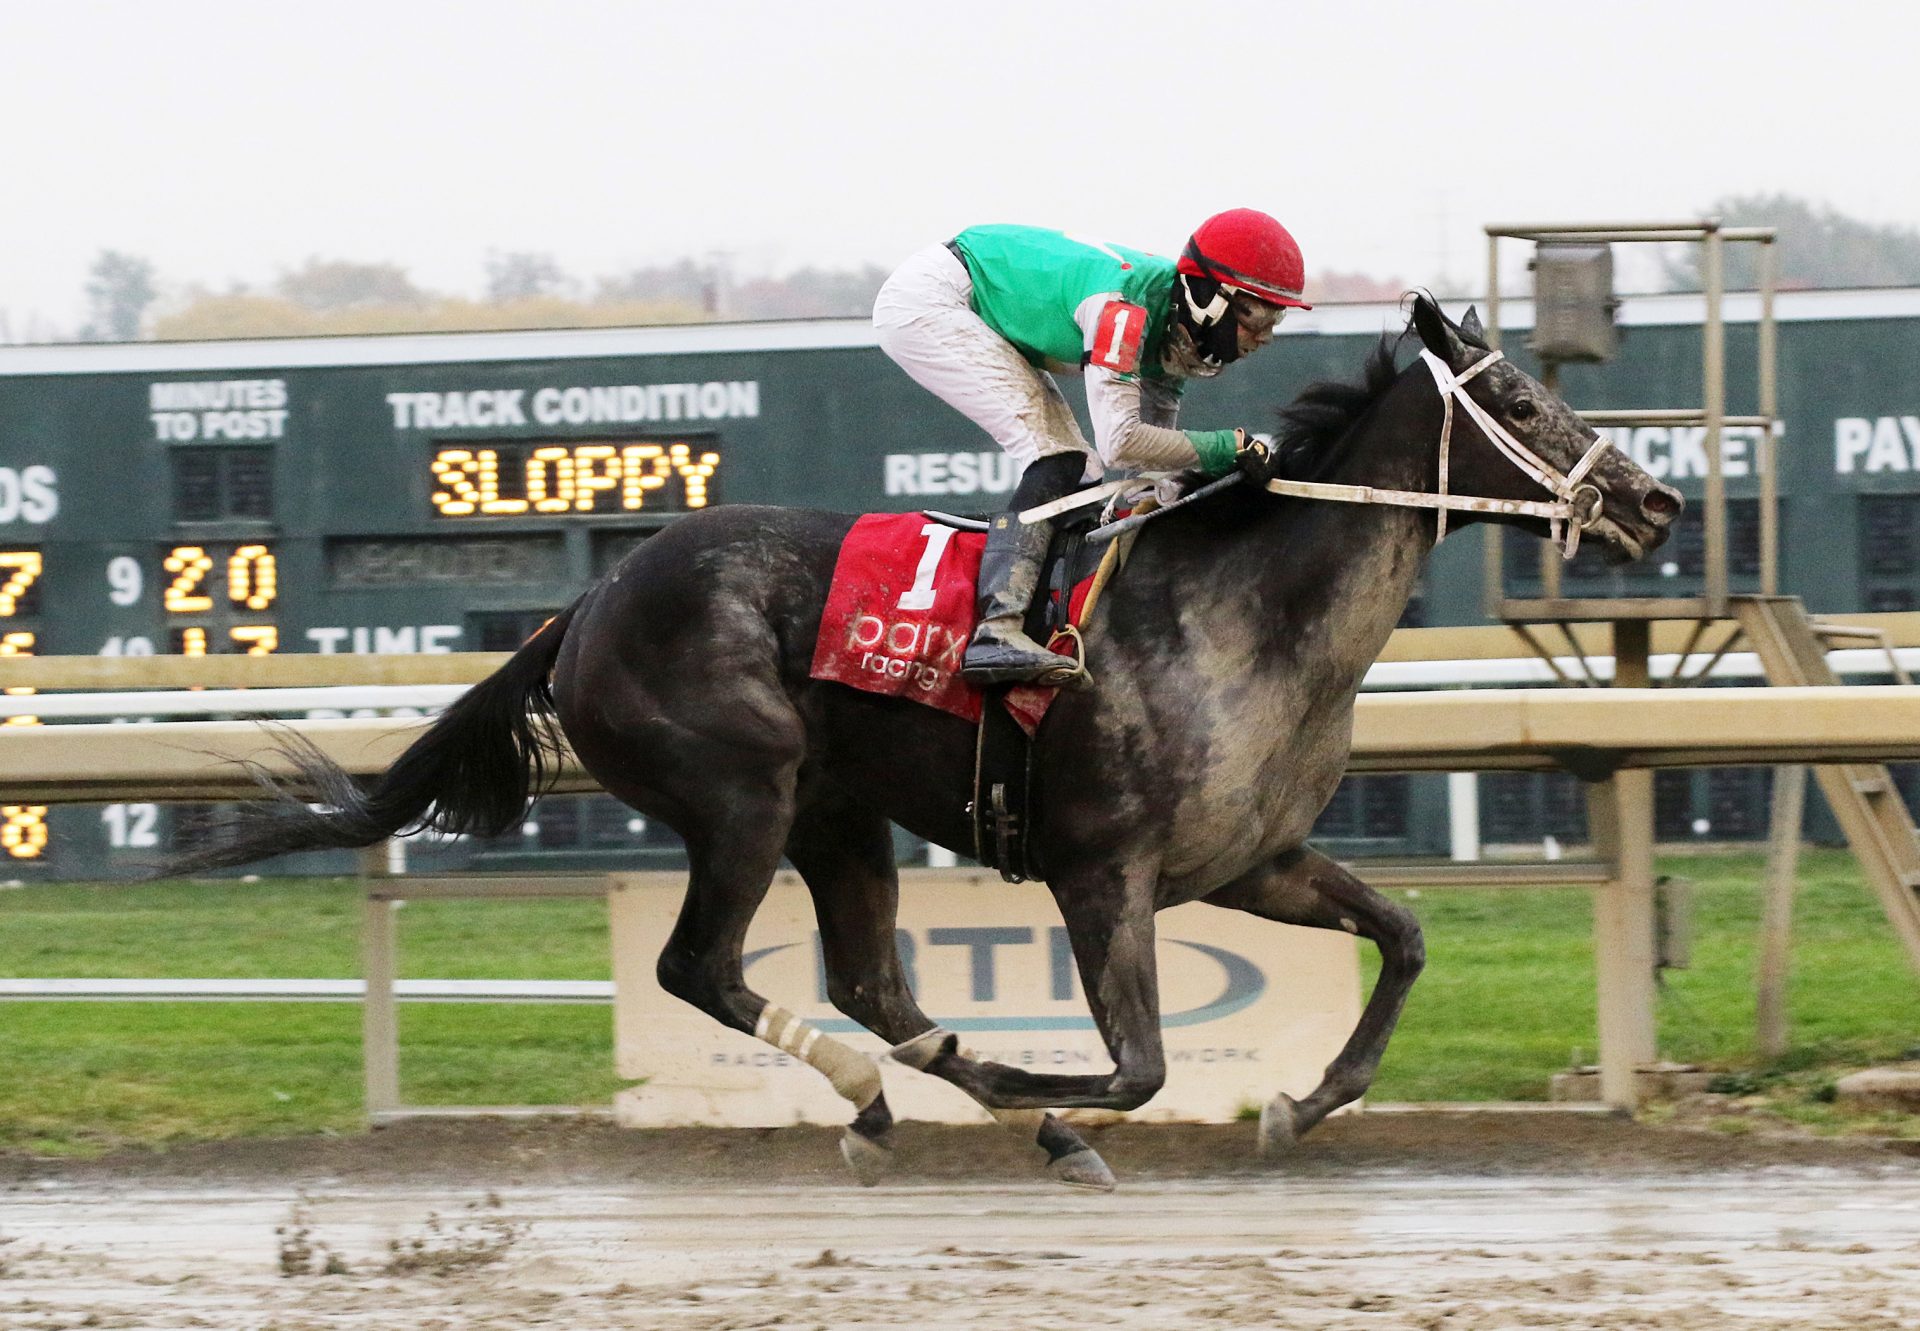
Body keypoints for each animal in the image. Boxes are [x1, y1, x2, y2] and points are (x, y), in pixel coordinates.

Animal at [176, 295, 1681, 1190]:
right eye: (1524, 403)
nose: (1655, 499)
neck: (1244, 615)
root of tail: (587, 601)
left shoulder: (1256, 858)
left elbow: (1406, 937)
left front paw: (1293, 1107)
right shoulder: (1102, 868)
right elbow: (1141, 1062)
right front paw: (1055, 1099)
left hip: (839, 814)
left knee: (871, 981)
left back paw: (951, 1093)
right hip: (743, 793)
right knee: (703, 966)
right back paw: (897, 1092)